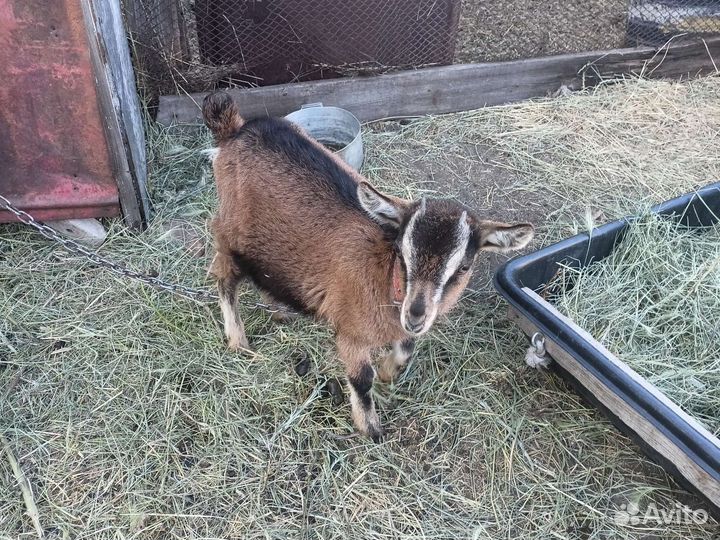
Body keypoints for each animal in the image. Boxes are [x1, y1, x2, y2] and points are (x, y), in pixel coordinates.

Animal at [202, 91, 534, 441]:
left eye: (463, 268)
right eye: (402, 254)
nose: (416, 316)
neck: (385, 278)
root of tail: (234, 129)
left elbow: (405, 350)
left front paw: (389, 371)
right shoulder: (349, 332)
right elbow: (362, 378)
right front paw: (372, 429)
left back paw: (279, 311)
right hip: (229, 234)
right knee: (224, 279)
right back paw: (238, 341)